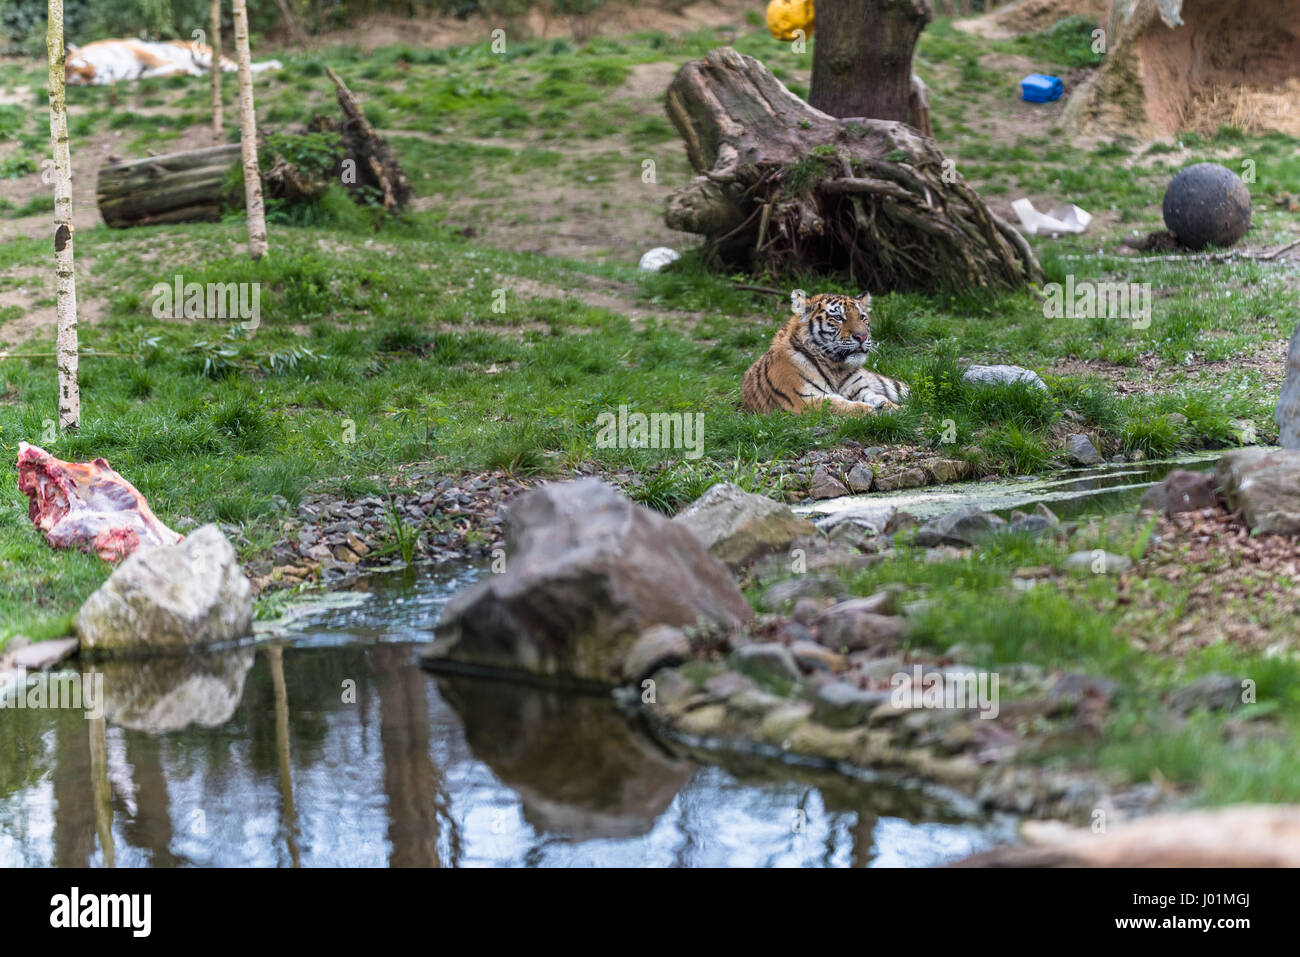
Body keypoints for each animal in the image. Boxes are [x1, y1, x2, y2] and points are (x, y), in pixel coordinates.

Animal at [738, 289, 909, 413]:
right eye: (838, 317)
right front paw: (874, 410)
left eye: (862, 317)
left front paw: (898, 408)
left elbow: (881, 398)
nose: (862, 336)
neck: (837, 367)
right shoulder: (804, 399)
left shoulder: (860, 391)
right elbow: (842, 406)